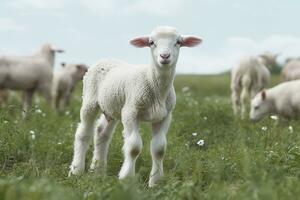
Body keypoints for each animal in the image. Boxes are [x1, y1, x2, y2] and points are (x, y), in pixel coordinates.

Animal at [69, 26, 203, 186]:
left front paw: (155, 182)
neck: (152, 83)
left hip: (113, 107)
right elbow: (134, 147)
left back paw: (98, 171)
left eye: (178, 42)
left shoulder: (165, 116)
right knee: (83, 133)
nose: (164, 56)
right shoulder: (130, 112)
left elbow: (159, 149)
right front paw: (126, 178)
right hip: (90, 100)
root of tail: (106, 58)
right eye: (151, 42)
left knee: (102, 133)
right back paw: (76, 170)